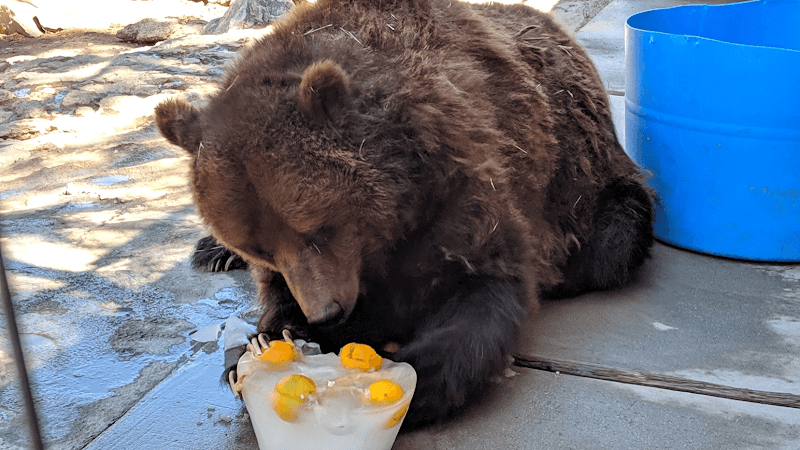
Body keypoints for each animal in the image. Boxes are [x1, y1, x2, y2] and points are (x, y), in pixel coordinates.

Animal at [155, 0, 654, 427]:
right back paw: (210, 252)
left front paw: (407, 374)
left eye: (319, 229)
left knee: (607, 247)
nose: (326, 314)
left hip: (589, 182)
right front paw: (261, 345)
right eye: (261, 249)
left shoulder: (465, 187)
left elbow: (482, 291)